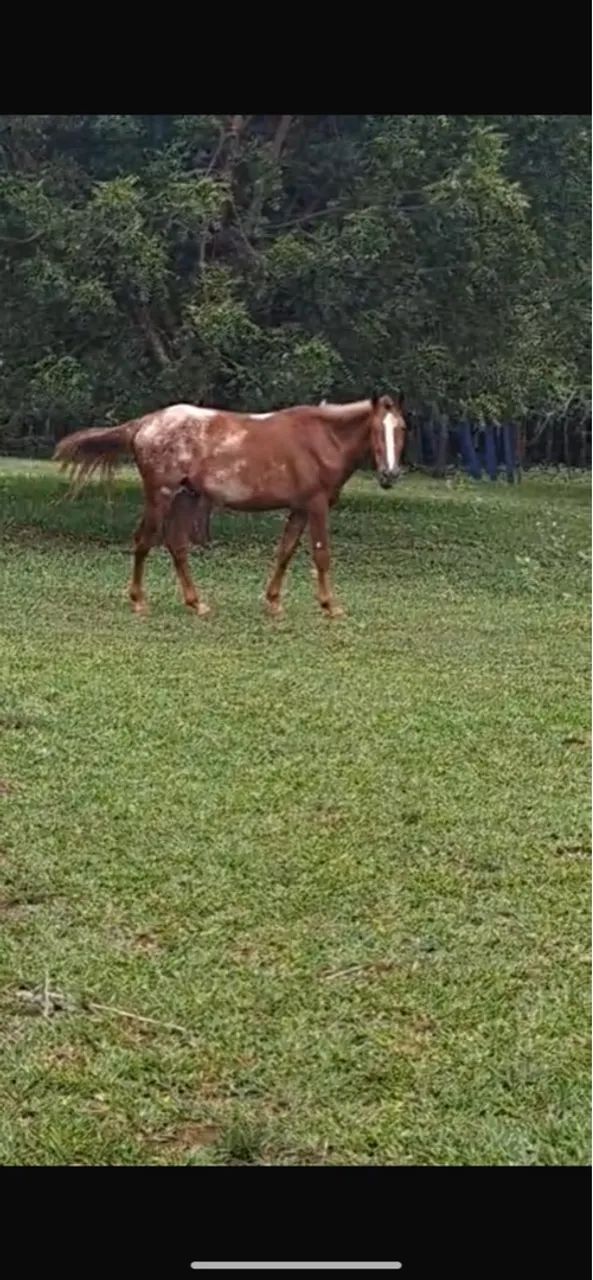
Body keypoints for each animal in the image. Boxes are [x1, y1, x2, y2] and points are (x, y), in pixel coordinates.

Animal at [53, 394, 407, 619]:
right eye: (377, 429)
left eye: (401, 428)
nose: (389, 475)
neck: (321, 439)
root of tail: (146, 423)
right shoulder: (317, 505)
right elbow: (321, 554)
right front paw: (330, 606)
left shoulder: (299, 508)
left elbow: (285, 551)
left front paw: (273, 602)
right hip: (161, 495)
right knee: (144, 541)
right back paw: (139, 601)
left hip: (186, 497)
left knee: (177, 545)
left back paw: (196, 603)